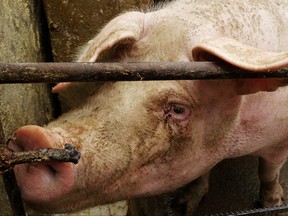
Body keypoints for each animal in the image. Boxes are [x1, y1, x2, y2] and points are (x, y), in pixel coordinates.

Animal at [7, 0, 288, 214]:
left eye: (178, 109)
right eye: (112, 77)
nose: (34, 136)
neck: (236, 141)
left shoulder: (279, 140)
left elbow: (268, 172)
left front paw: (272, 204)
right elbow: (201, 172)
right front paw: (183, 207)